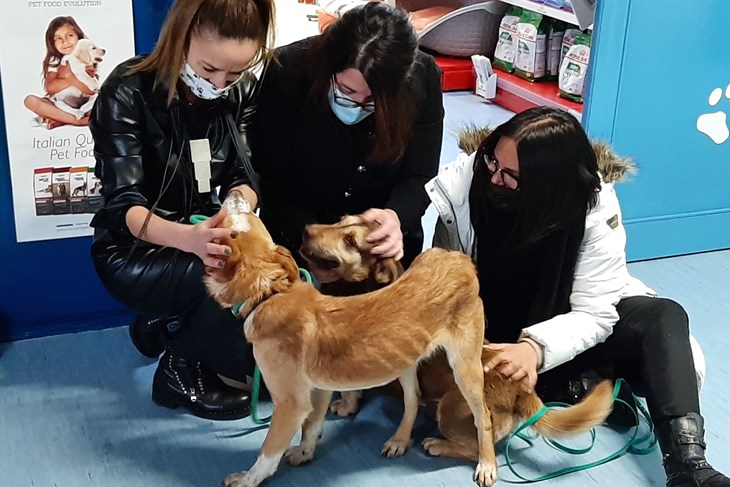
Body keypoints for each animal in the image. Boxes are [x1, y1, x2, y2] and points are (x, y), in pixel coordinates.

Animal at [205, 212, 494, 486]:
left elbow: (267, 453)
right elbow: (312, 427)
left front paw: (246, 479)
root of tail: (456, 257)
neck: (269, 295)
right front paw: (305, 453)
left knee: (483, 416)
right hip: (404, 360)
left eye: (238, 224)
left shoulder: (290, 405)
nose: (235, 196)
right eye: (341, 221)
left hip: (465, 367)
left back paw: (487, 464)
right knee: (413, 399)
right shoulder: (319, 388)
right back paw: (400, 440)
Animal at [296, 217, 616, 468]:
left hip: (452, 405)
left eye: (350, 240)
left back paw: (442, 446)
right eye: (340, 220)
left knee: (478, 444)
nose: (307, 229)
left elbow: (346, 390)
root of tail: (522, 388)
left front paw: (345, 405)